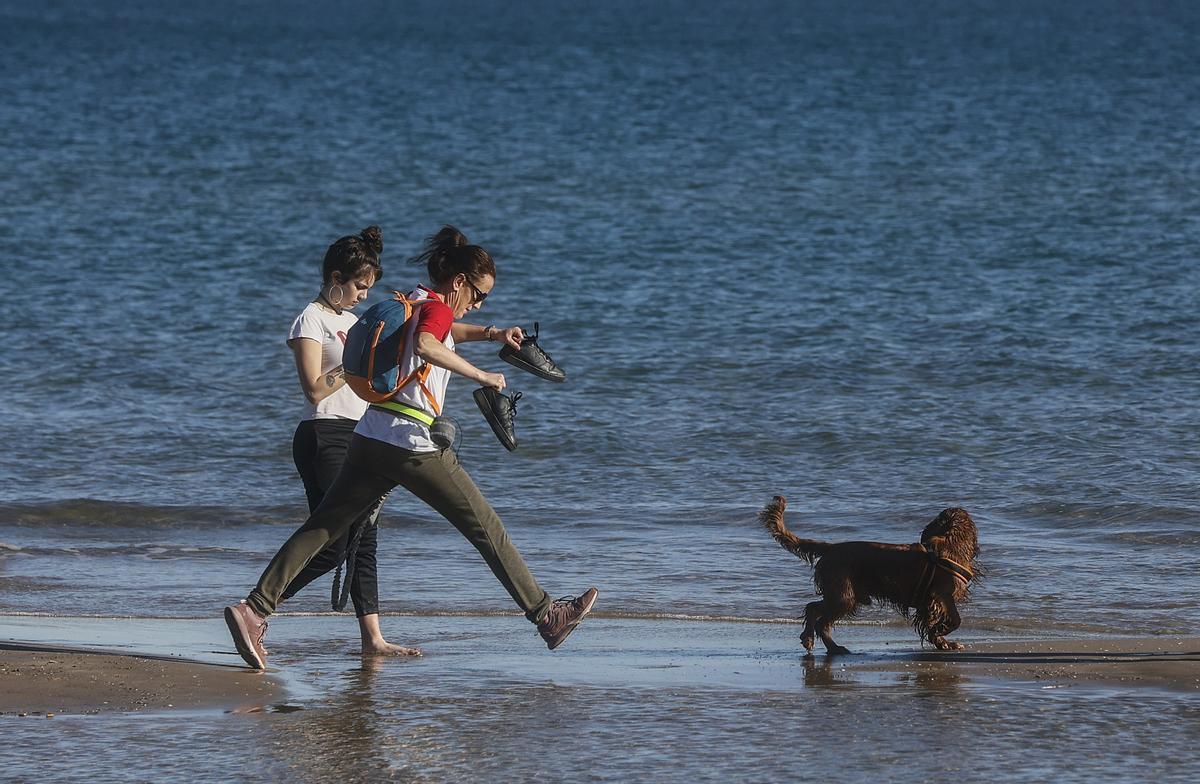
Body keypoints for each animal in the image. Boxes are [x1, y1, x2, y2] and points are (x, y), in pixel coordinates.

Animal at [763, 494, 979, 653]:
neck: (950, 543)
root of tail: (831, 548)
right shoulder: (941, 595)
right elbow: (955, 619)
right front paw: (943, 634)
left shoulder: (929, 603)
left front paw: (943, 642)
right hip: (844, 597)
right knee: (820, 620)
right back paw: (831, 647)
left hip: (843, 595)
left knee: (813, 608)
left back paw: (812, 640)